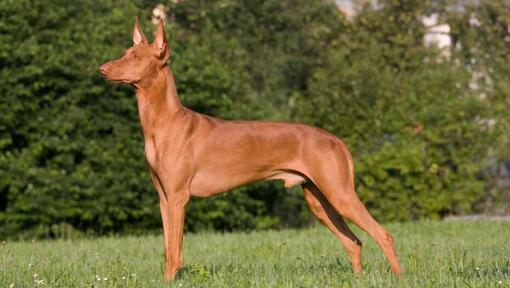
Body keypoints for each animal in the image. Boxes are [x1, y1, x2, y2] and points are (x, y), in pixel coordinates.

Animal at [100, 16, 402, 280]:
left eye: (135, 57)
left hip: (340, 195)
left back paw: (399, 276)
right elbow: (167, 249)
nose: (102, 68)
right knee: (354, 242)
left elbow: (175, 252)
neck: (164, 122)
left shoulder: (178, 198)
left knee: (383, 235)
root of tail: (334, 138)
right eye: (125, 52)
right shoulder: (164, 198)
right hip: (319, 201)